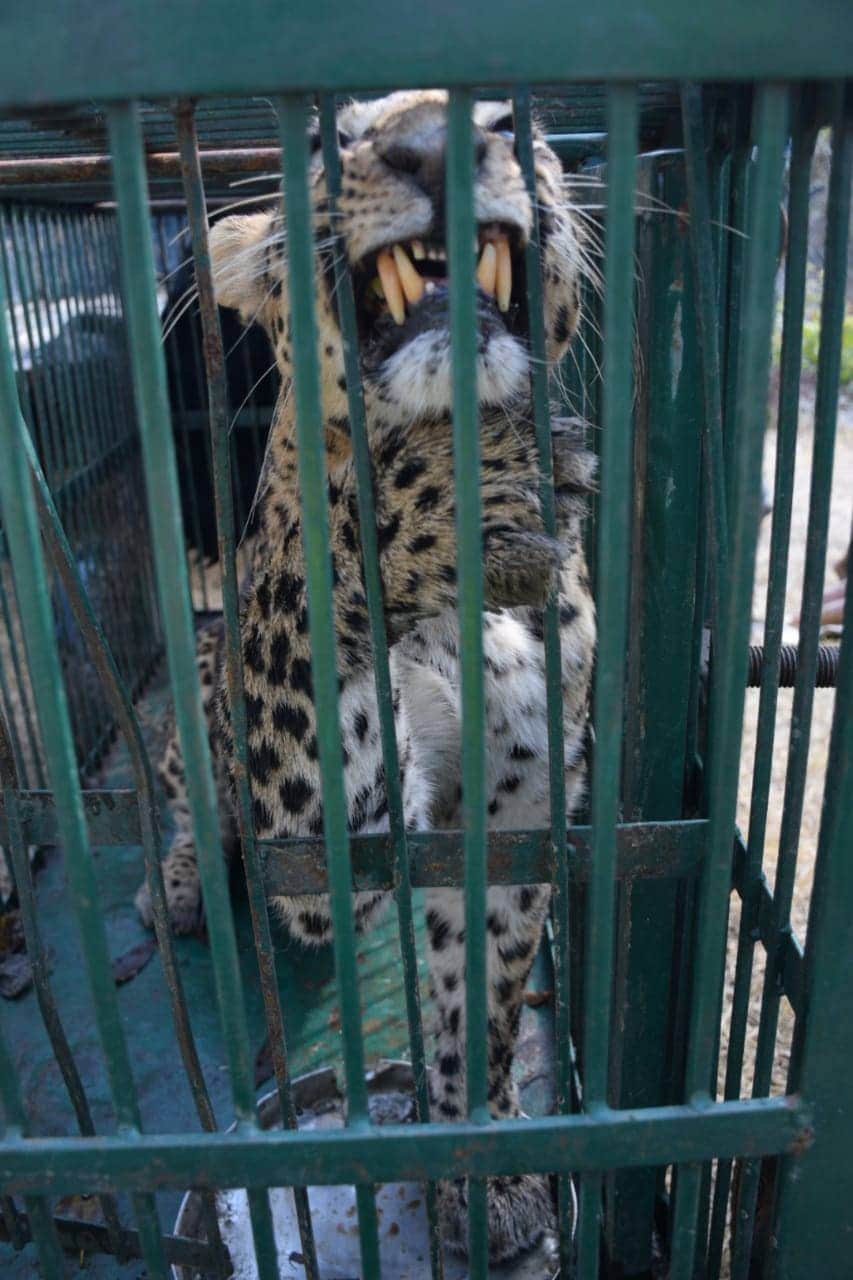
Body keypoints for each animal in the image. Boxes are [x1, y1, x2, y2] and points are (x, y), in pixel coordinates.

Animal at [135, 90, 597, 1265]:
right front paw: (433, 500)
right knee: (183, 806)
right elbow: (323, 565)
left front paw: (488, 1167)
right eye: (323, 138)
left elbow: (482, 1000)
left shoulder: (516, 809)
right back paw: (174, 889)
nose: (434, 142)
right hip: (190, 705)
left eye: (515, 120)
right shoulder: (312, 829)